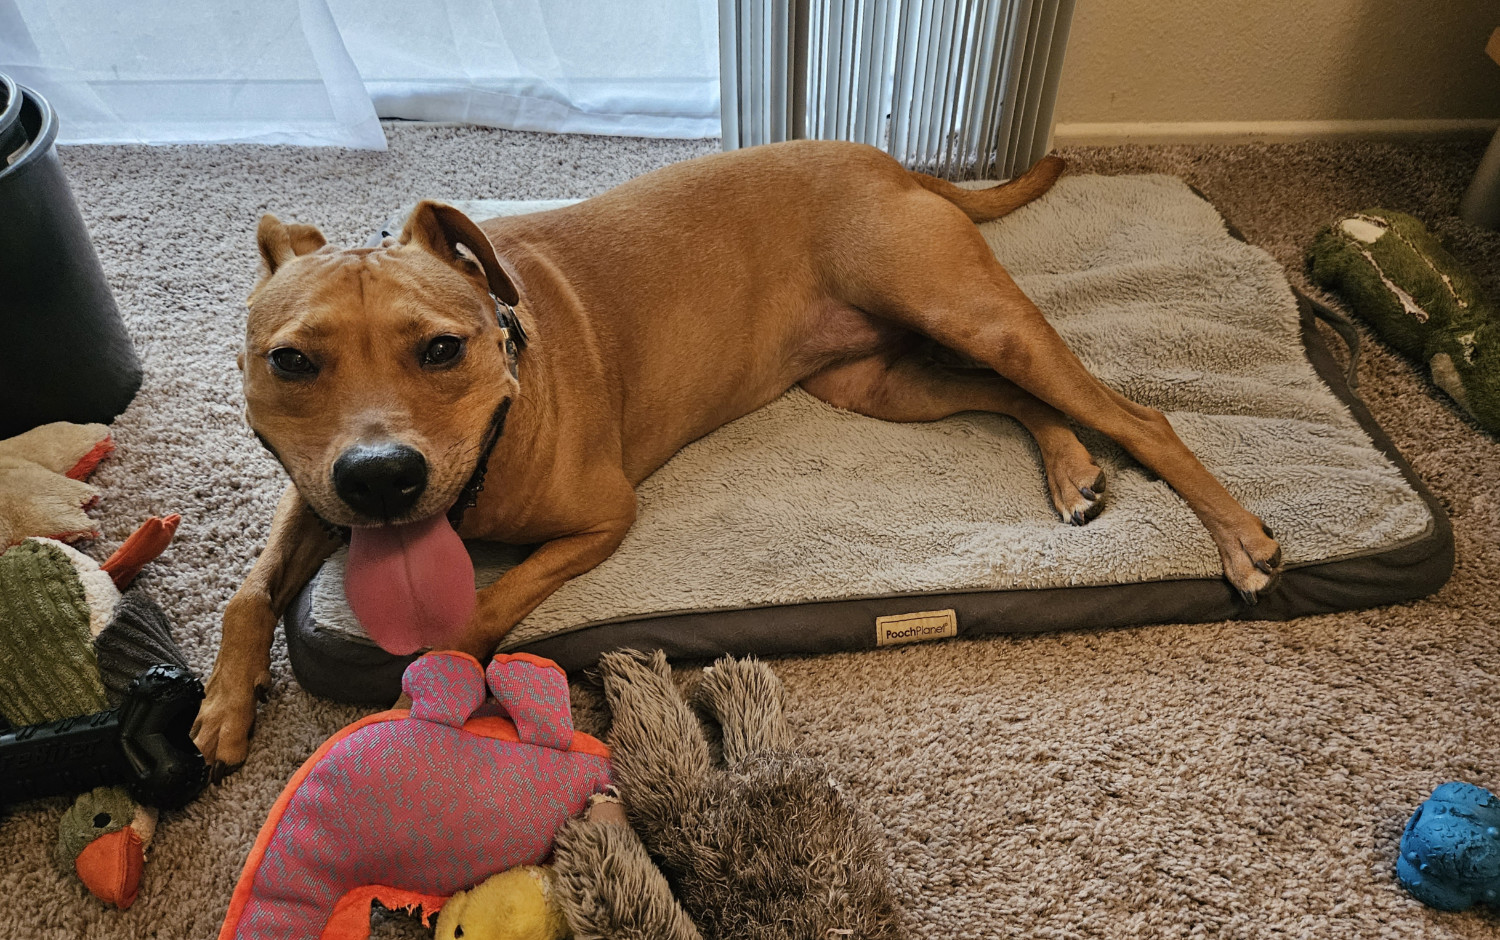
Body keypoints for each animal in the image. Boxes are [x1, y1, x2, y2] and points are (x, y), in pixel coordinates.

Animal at [193, 143, 1284, 767]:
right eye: (290, 361)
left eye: (440, 350)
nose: (382, 478)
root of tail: (885, 159)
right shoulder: (313, 495)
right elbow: (250, 588)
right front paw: (222, 706)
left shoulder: (604, 518)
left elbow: (478, 611)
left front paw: (424, 679)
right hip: (886, 381)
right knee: (1025, 399)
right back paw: (1070, 468)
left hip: (971, 315)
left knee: (1138, 415)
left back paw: (1239, 537)